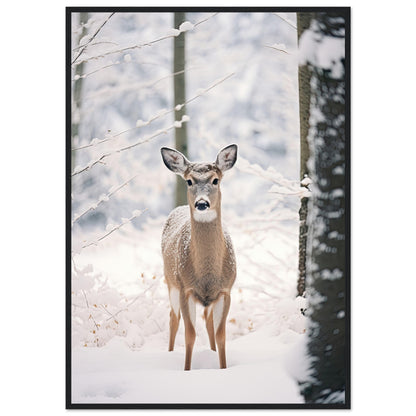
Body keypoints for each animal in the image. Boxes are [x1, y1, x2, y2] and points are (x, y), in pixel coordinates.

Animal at [160, 145, 237, 370]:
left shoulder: (225, 290)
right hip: (170, 282)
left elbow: (221, 336)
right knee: (173, 318)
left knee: (208, 322)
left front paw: (223, 368)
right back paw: (169, 354)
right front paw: (187, 370)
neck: (207, 274)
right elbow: (190, 335)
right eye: (189, 181)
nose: (202, 203)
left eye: (215, 180)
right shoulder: (185, 288)